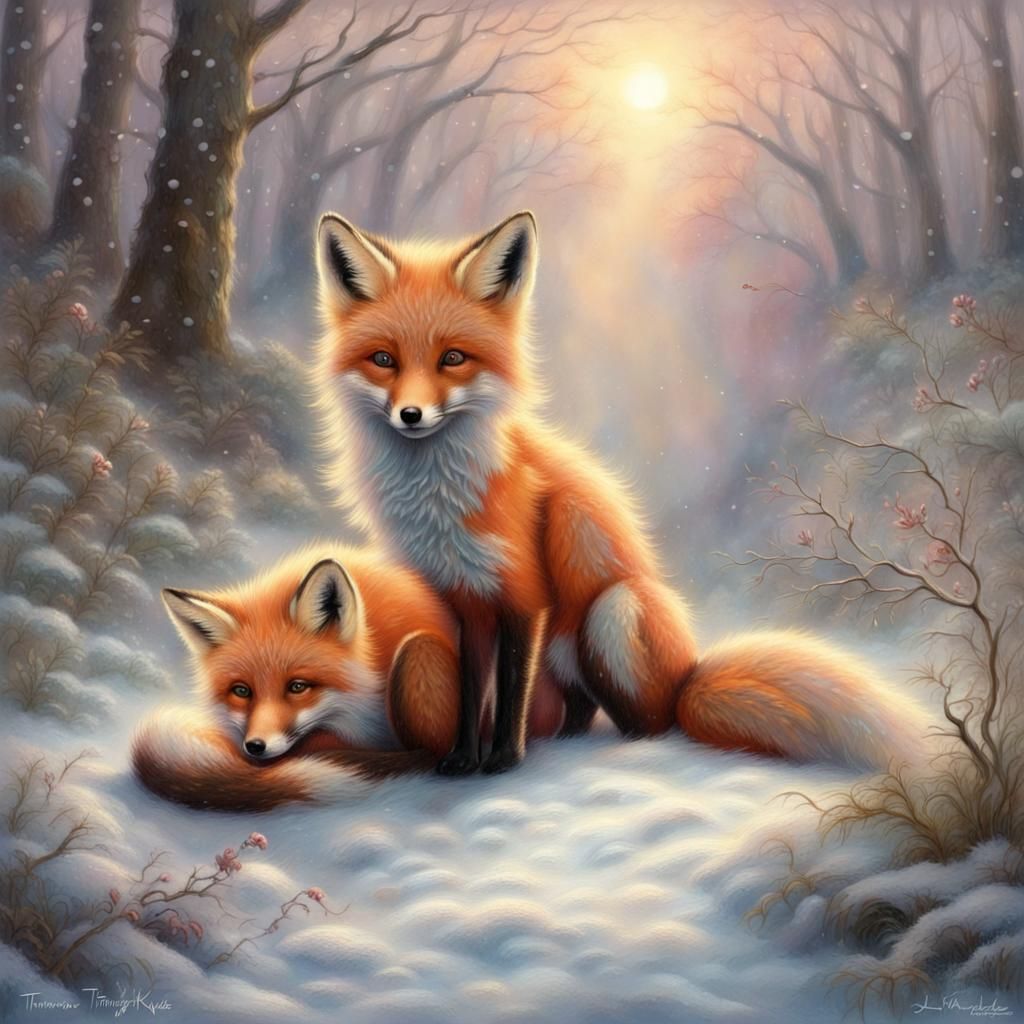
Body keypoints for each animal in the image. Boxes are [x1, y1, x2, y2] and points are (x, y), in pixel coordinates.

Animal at [311, 209, 928, 777]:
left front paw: (504, 759)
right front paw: (463, 758)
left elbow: (509, 692)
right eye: (384, 360)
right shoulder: (466, 600)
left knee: (650, 721)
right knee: (582, 711)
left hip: (613, 611)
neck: (439, 497)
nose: (411, 415)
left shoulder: (524, 592)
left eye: (453, 359)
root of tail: (688, 679)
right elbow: (471, 690)